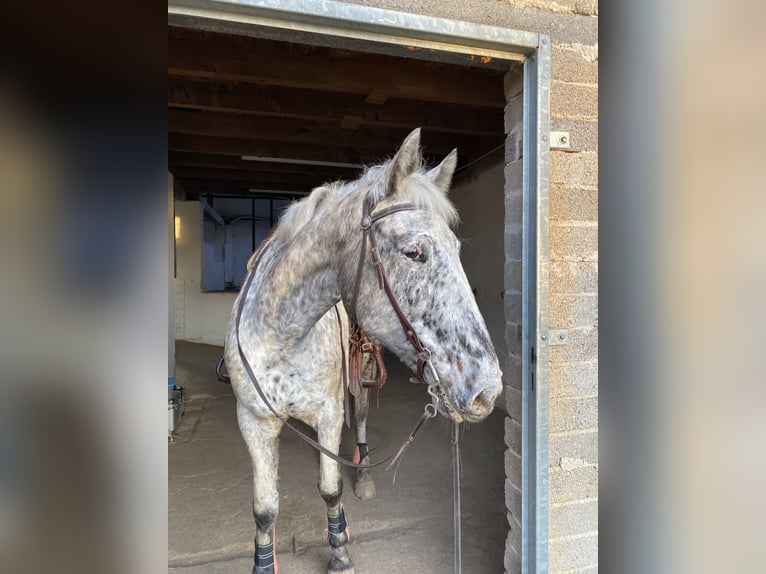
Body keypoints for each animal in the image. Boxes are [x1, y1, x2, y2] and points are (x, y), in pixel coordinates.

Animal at [225, 130, 508, 574]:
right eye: (414, 252)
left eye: (457, 248)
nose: (486, 390)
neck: (282, 335)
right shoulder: (252, 421)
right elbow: (265, 508)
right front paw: (263, 563)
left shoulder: (328, 412)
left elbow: (329, 488)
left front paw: (340, 552)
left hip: (361, 374)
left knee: (358, 418)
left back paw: (362, 472)